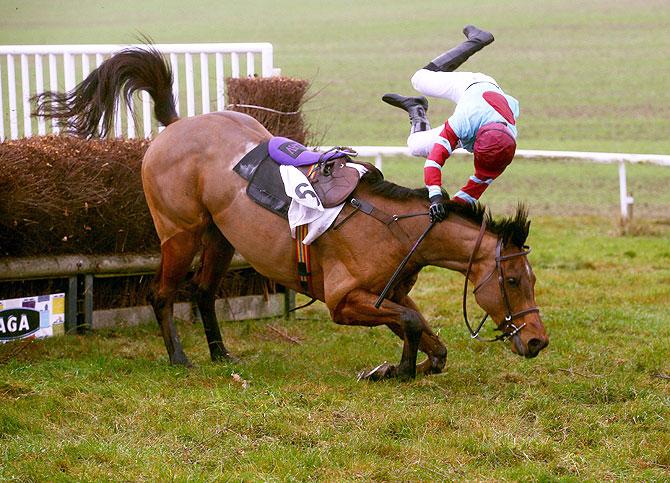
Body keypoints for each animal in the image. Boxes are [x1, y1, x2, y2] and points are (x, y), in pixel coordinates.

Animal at [34, 47, 548, 380]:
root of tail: (177, 126)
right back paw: (181, 358)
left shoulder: (387, 293)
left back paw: (221, 355)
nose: (538, 340)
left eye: (531, 279)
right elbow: (411, 323)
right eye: (513, 280)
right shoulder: (344, 301)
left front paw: (409, 364)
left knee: (202, 292)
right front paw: (398, 369)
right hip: (180, 233)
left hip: (221, 237)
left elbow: (423, 331)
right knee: (161, 293)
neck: (397, 231)